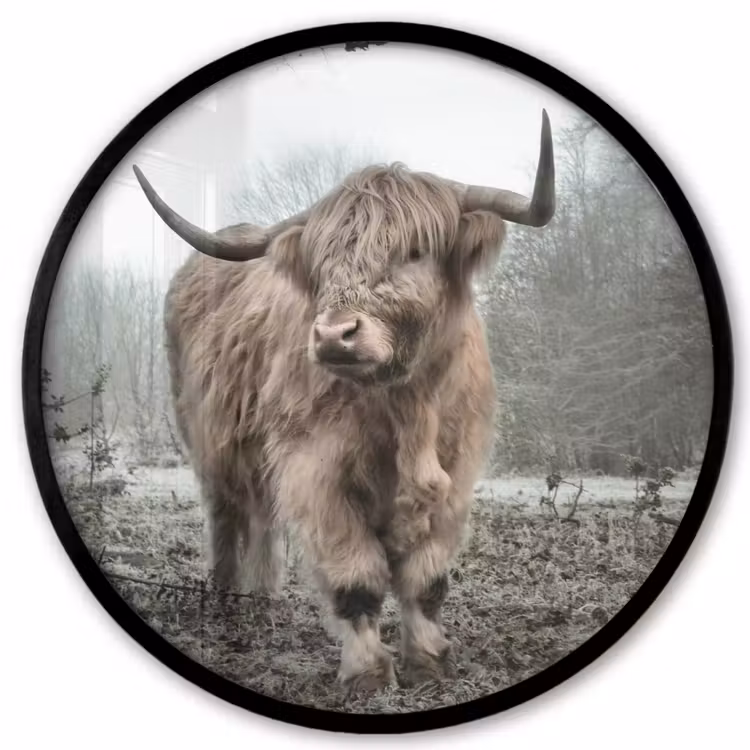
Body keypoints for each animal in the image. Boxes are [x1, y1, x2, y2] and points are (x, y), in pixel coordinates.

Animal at [133, 111, 555, 692]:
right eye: (323, 262)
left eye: (415, 252)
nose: (335, 335)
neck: (406, 407)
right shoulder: (316, 472)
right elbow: (357, 578)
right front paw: (368, 674)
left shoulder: (456, 474)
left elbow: (427, 580)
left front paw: (429, 662)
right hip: (208, 440)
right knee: (227, 516)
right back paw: (227, 603)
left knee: (262, 519)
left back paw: (262, 599)